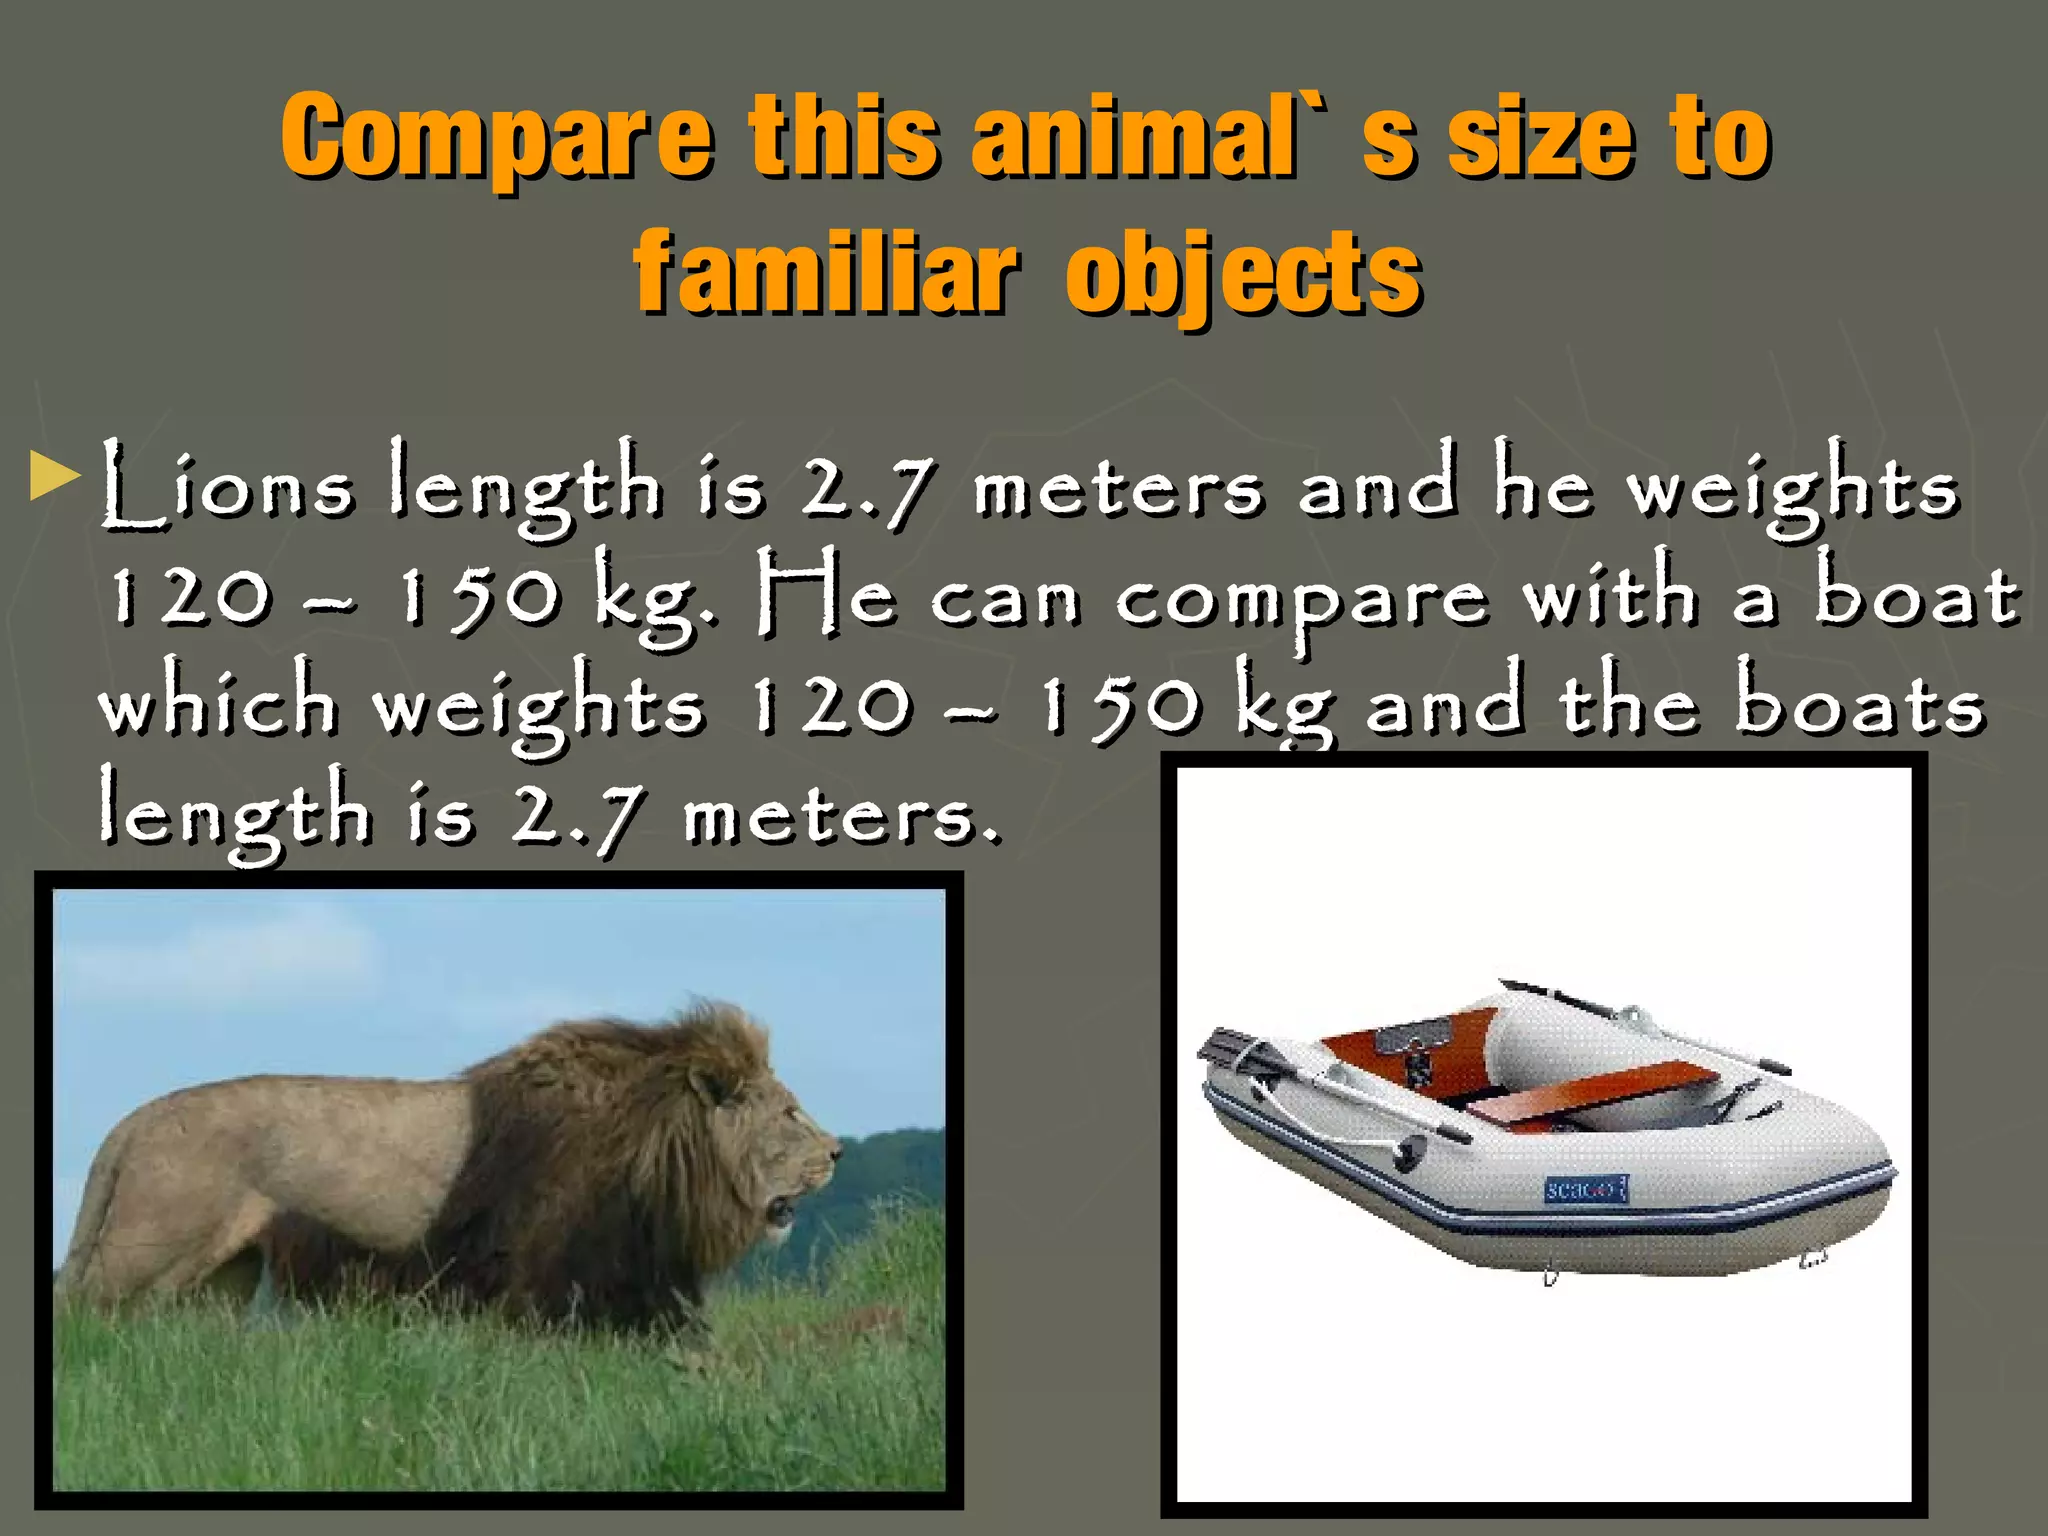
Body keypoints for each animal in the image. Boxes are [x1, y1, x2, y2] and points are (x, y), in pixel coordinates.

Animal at [54, 1002, 840, 1332]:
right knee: (82, 1315)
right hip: (143, 1253)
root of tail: (129, 1124)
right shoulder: (554, 1275)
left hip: (220, 1281)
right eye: (791, 1112)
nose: (837, 1152)